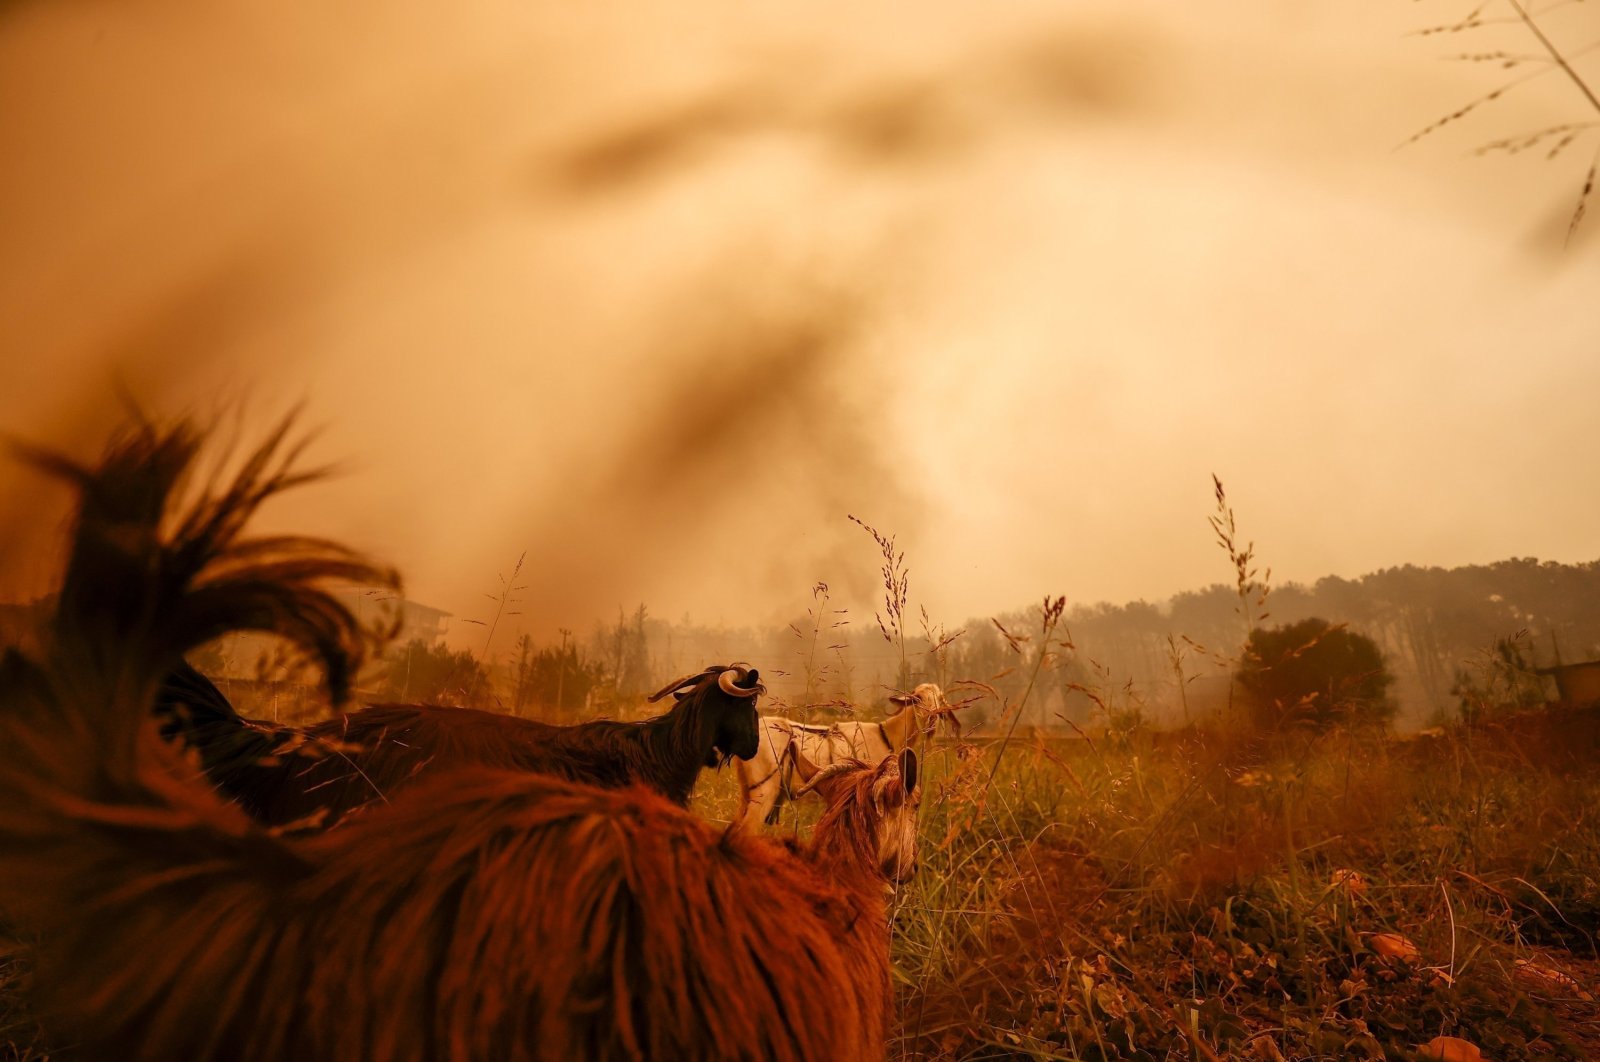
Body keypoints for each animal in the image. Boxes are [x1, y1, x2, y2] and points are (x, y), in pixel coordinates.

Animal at [732, 684, 940, 831]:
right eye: (918, 699)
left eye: (940, 698)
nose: (933, 717)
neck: (887, 734)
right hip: (763, 791)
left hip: (747, 792)